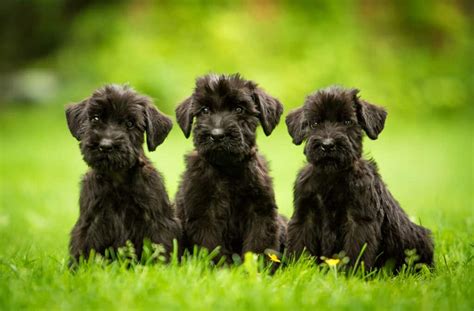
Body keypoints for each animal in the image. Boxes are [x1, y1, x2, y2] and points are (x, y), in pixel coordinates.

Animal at [65, 83, 180, 264]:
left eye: (130, 123)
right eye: (96, 118)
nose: (105, 145)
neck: (117, 178)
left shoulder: (158, 221)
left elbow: (160, 246)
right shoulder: (89, 221)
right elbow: (83, 246)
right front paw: (78, 268)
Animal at [174, 74, 286, 262]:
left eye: (239, 109)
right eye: (205, 110)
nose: (217, 135)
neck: (227, 170)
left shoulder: (261, 213)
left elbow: (258, 245)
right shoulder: (205, 215)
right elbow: (212, 246)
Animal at [286, 86, 434, 270]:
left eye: (347, 122)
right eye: (314, 123)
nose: (327, 145)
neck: (331, 176)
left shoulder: (359, 220)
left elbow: (356, 251)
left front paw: (351, 273)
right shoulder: (304, 216)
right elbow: (299, 246)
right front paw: (296, 269)